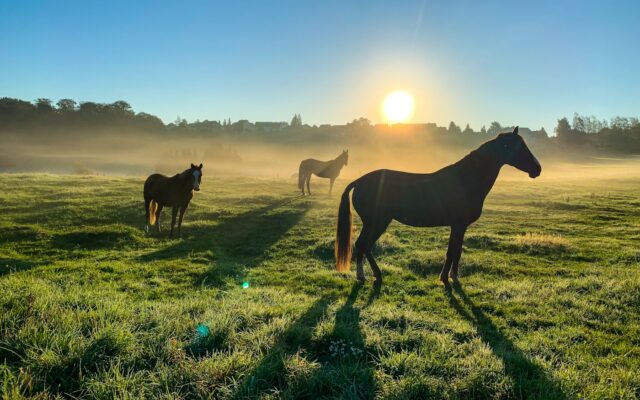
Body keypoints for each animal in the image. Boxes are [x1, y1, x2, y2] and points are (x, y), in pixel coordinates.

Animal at [335, 127, 541, 286]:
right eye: (518, 147)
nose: (537, 169)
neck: (465, 179)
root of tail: (360, 181)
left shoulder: (459, 226)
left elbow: (456, 251)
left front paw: (451, 277)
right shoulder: (458, 225)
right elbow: (452, 252)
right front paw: (449, 278)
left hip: (376, 223)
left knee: (364, 246)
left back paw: (372, 275)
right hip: (377, 222)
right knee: (363, 245)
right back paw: (365, 276)